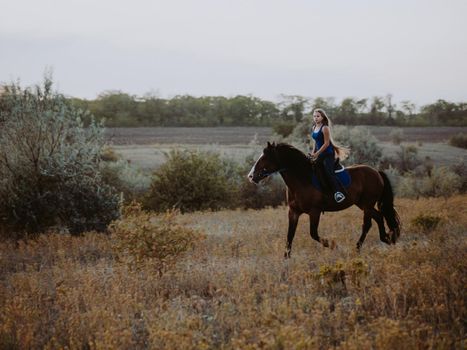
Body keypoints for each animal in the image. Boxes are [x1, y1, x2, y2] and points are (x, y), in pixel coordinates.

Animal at [249, 141, 402, 258]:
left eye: (265, 158)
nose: (251, 176)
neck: (302, 179)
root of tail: (376, 172)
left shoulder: (314, 211)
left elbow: (313, 234)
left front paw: (336, 246)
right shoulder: (293, 212)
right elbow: (290, 236)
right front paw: (286, 259)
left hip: (367, 205)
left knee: (368, 224)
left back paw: (358, 248)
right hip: (363, 204)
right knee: (379, 217)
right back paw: (386, 239)